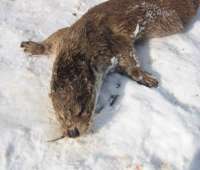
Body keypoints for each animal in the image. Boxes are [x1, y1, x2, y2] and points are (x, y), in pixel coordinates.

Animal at [20, 0, 200, 138]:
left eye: (81, 111)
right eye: (61, 116)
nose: (72, 133)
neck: (85, 39)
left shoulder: (111, 41)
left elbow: (129, 58)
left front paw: (144, 77)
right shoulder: (66, 36)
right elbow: (53, 37)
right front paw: (34, 46)